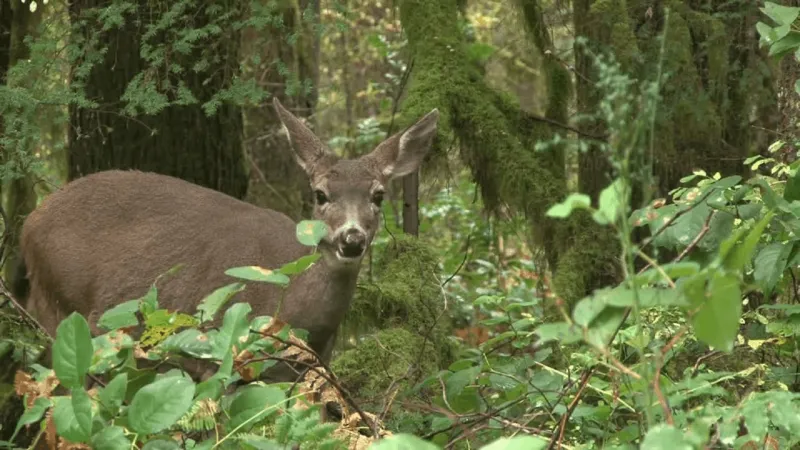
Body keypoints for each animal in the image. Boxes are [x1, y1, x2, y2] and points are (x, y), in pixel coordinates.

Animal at [12, 97, 440, 382]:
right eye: (320, 194)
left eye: (378, 195)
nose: (351, 239)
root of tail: (28, 223)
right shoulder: (219, 357)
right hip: (59, 311)